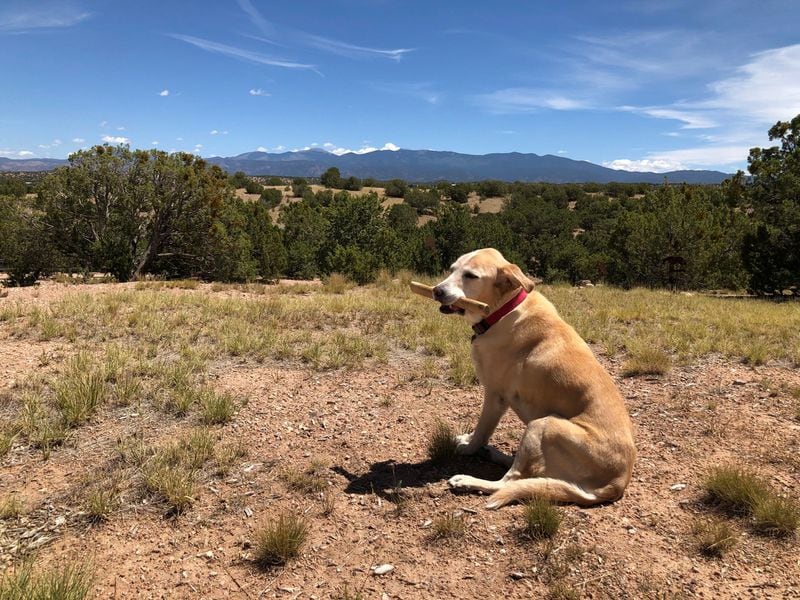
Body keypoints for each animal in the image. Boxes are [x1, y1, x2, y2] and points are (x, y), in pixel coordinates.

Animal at [434, 247, 636, 506]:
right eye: (452, 270)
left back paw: (467, 480)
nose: (437, 291)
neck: (504, 310)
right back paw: (496, 454)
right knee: (529, 472)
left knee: (511, 480)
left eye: (471, 276)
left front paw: (470, 447)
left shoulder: (495, 395)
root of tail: (618, 483)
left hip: (543, 424)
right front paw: (470, 441)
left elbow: (482, 430)